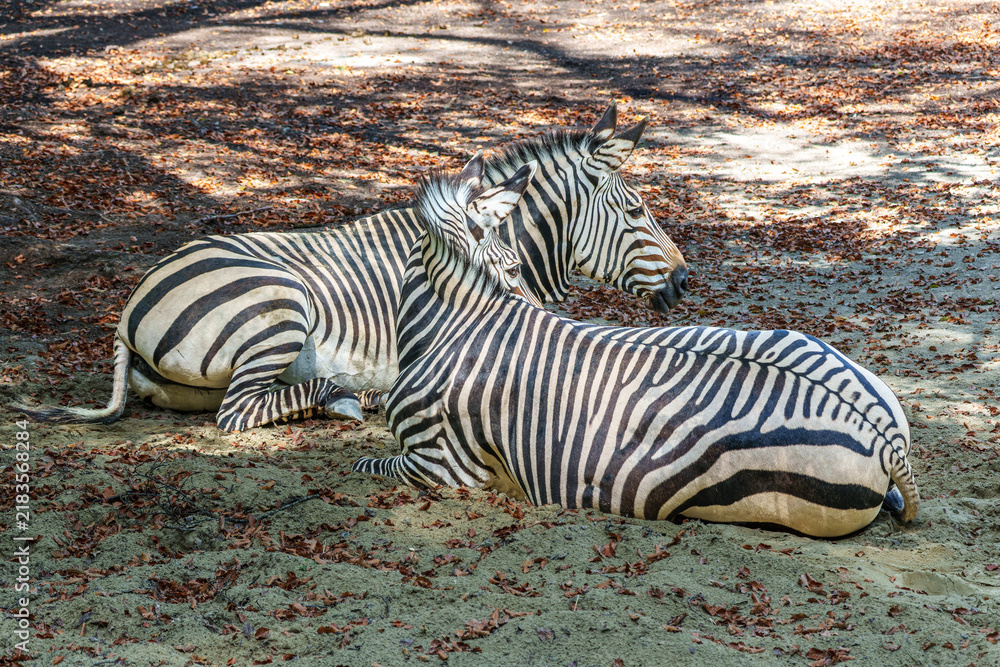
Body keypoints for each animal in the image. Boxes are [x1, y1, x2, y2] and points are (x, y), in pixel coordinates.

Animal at [13, 103, 688, 433]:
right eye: (636, 210)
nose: (685, 280)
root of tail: (130, 303)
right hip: (280, 303)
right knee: (238, 412)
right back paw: (348, 397)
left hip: (194, 376)